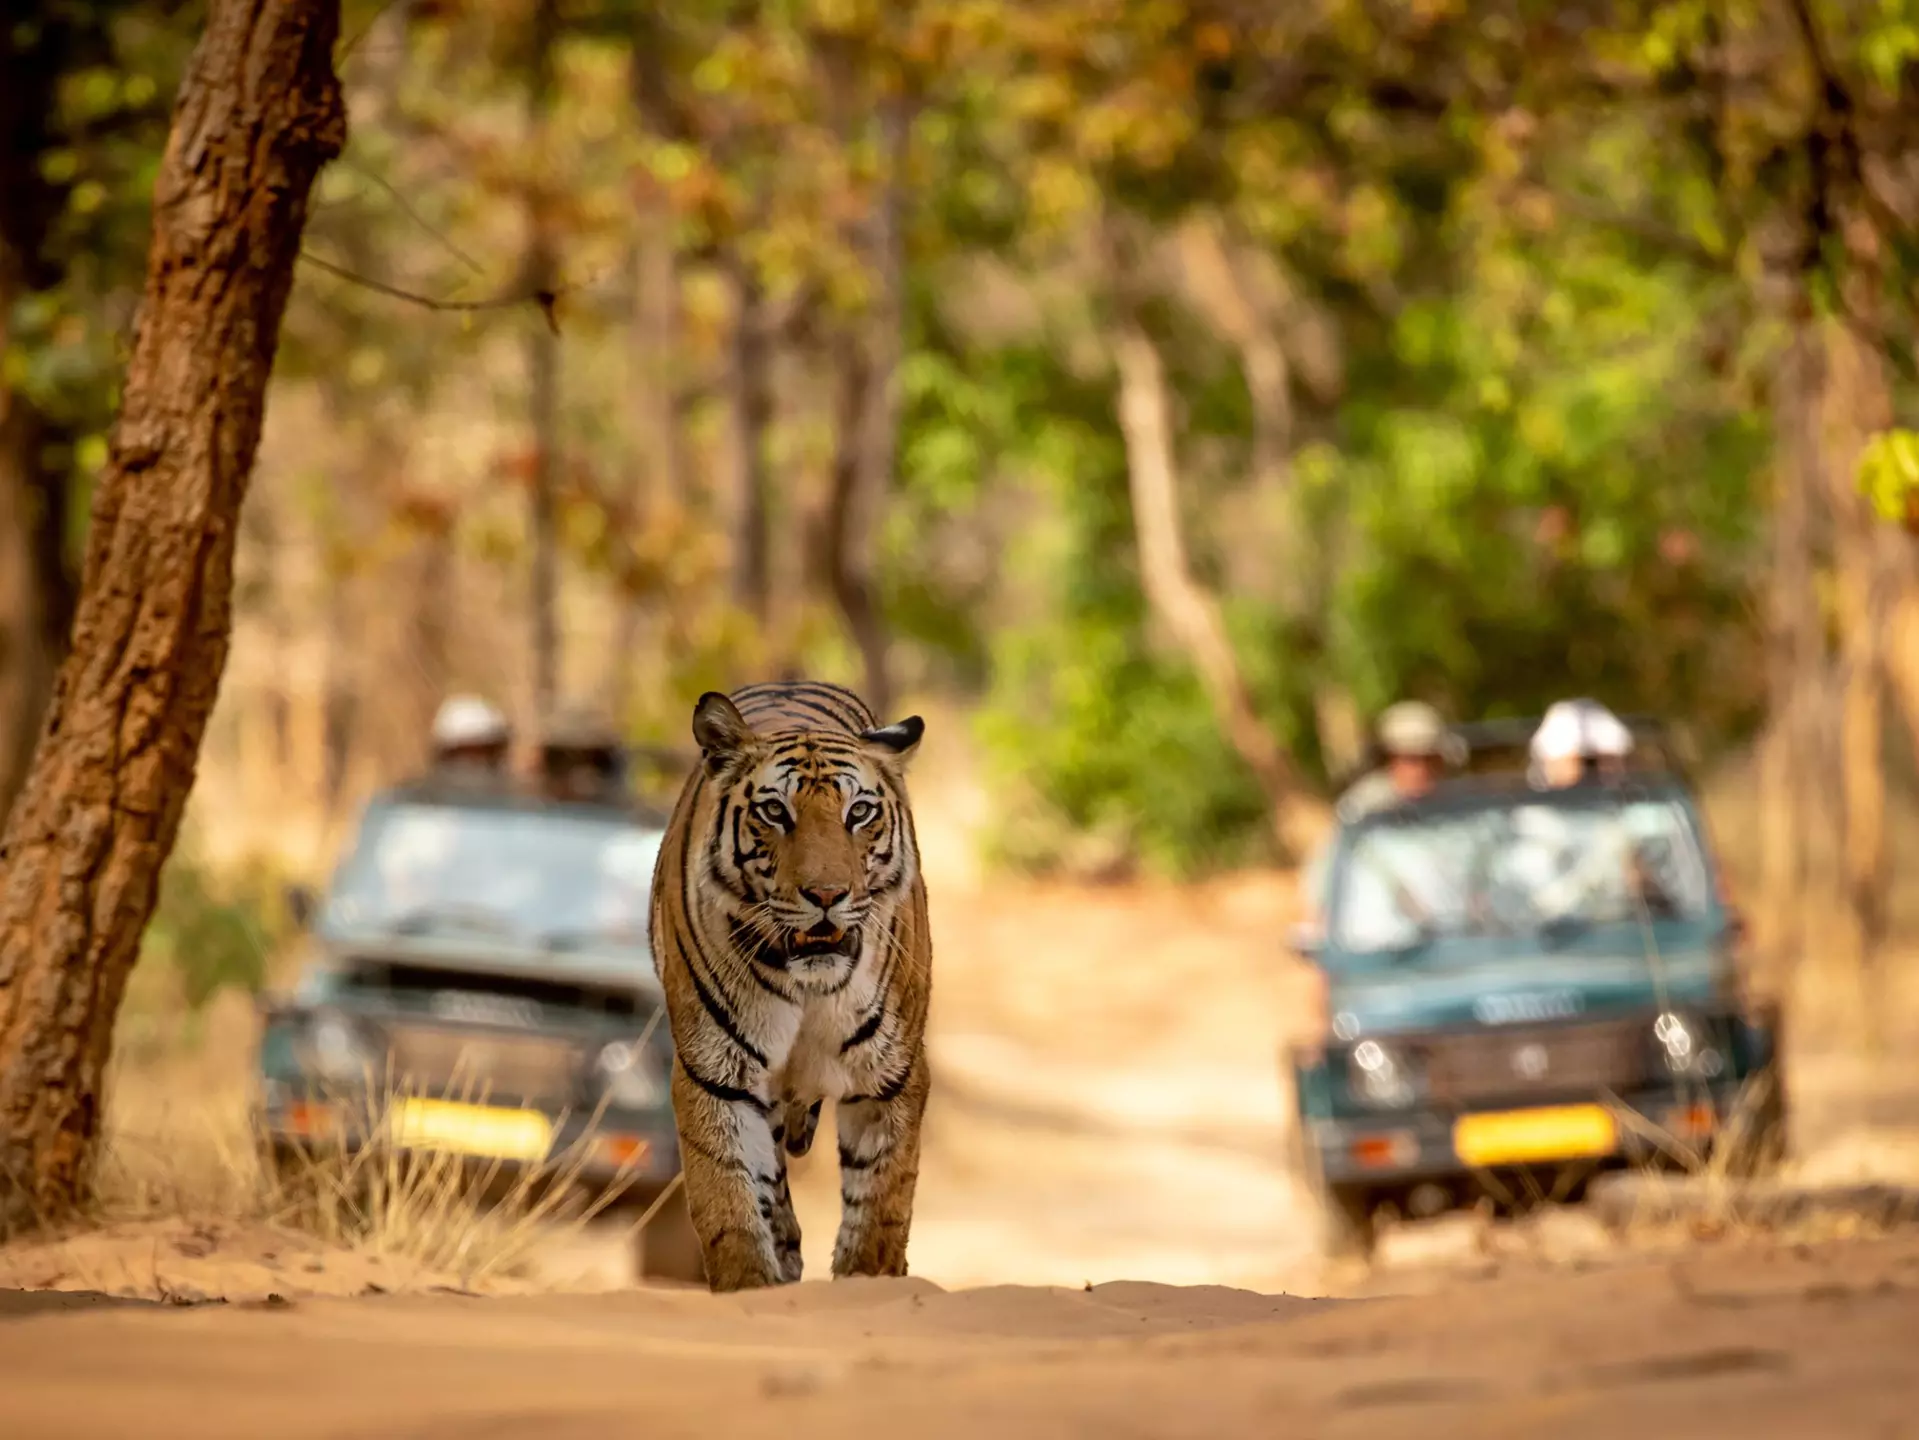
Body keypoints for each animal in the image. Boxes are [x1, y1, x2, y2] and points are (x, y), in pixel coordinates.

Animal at [648, 680, 933, 1292]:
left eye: (859, 812)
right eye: (775, 811)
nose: (826, 895)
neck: (809, 988)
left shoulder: (890, 1075)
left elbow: (881, 1204)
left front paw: (868, 1280)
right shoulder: (716, 1074)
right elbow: (728, 1199)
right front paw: (750, 1284)